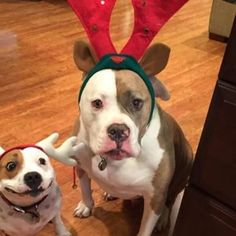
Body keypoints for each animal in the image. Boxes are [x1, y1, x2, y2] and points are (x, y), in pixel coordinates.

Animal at [56, 41, 193, 236]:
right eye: (97, 103)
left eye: (137, 102)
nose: (118, 131)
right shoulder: (80, 165)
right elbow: (85, 188)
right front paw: (86, 206)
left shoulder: (155, 197)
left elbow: (145, 228)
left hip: (187, 161)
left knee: (171, 199)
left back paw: (163, 219)